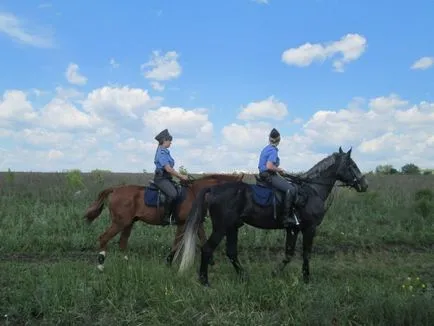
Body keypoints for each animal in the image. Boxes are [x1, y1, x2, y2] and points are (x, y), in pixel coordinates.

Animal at [82, 173, 244, 270]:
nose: (240, 220)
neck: (196, 193)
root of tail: (115, 189)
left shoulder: (196, 223)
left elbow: (202, 239)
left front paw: (211, 262)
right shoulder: (183, 223)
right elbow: (177, 243)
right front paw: (169, 261)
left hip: (129, 223)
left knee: (122, 242)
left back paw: (127, 264)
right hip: (119, 223)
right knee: (104, 238)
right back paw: (101, 265)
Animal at [175, 146, 368, 286]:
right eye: (352, 165)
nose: (364, 185)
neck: (312, 190)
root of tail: (212, 189)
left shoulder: (293, 229)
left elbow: (289, 254)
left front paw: (275, 273)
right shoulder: (309, 228)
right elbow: (306, 253)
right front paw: (306, 279)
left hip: (232, 227)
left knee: (231, 252)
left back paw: (244, 276)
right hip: (222, 227)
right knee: (207, 249)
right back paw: (204, 281)